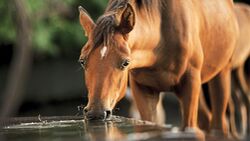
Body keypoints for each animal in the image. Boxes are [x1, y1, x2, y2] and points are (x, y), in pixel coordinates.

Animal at [78, 0, 238, 137]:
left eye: (125, 63)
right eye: (82, 61)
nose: (96, 113)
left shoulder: (190, 84)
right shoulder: (143, 89)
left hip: (221, 74)